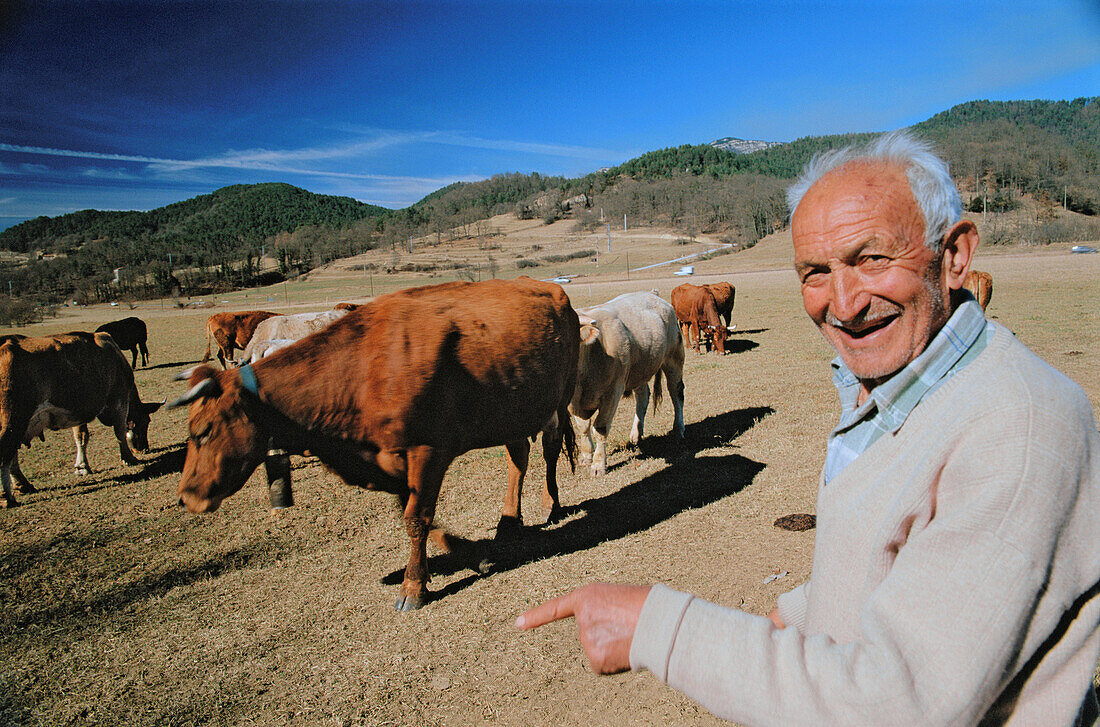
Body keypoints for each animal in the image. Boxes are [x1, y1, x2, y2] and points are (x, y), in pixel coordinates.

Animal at [0, 329, 162, 503]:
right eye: (146, 421)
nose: (144, 448)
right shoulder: (119, 401)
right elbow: (119, 432)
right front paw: (129, 458)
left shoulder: (78, 412)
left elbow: (81, 437)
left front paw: (82, 466)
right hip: (13, 420)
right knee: (6, 450)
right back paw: (6, 496)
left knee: (12, 452)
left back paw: (22, 484)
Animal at [170, 276, 580, 607]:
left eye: (202, 431)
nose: (186, 496)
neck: (364, 366)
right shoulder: (389, 459)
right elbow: (418, 517)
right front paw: (470, 554)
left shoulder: (428, 451)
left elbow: (417, 518)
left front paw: (413, 587)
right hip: (513, 410)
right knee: (518, 456)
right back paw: (509, 519)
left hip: (557, 402)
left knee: (549, 452)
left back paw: (551, 504)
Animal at [572, 288, 682, 477]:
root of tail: (653, 294)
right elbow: (583, 427)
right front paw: (586, 457)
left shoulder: (613, 392)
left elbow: (600, 427)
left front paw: (598, 465)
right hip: (640, 369)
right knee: (643, 397)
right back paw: (636, 434)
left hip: (674, 359)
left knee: (677, 394)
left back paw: (678, 429)